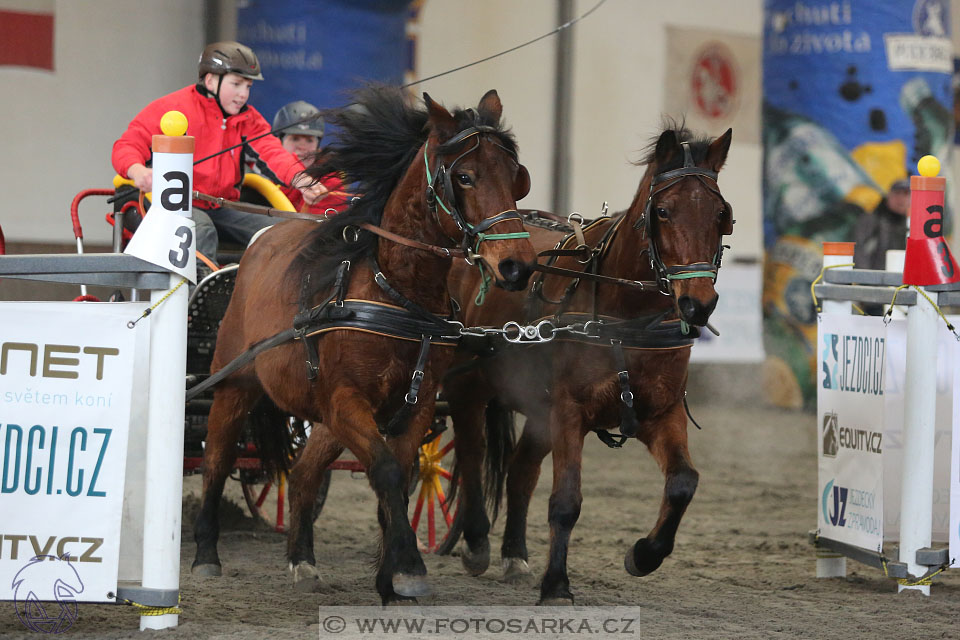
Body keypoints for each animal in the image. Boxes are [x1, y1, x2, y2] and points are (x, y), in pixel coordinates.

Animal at [193, 86, 540, 604]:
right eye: (465, 177)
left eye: (517, 179)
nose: (517, 266)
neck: (395, 291)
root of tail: (261, 240)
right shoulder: (346, 401)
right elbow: (389, 474)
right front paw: (409, 568)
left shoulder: (411, 407)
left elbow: (393, 482)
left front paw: (390, 581)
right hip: (235, 385)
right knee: (216, 460)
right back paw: (205, 556)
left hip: (323, 415)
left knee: (303, 472)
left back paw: (302, 560)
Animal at [442, 125, 736, 604]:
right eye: (664, 211)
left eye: (721, 215)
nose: (699, 304)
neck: (627, 316)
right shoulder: (570, 411)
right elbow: (566, 501)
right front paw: (557, 586)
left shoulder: (661, 411)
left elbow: (683, 482)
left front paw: (643, 555)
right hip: (467, 386)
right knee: (471, 454)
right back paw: (475, 542)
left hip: (537, 409)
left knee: (519, 471)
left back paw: (514, 555)